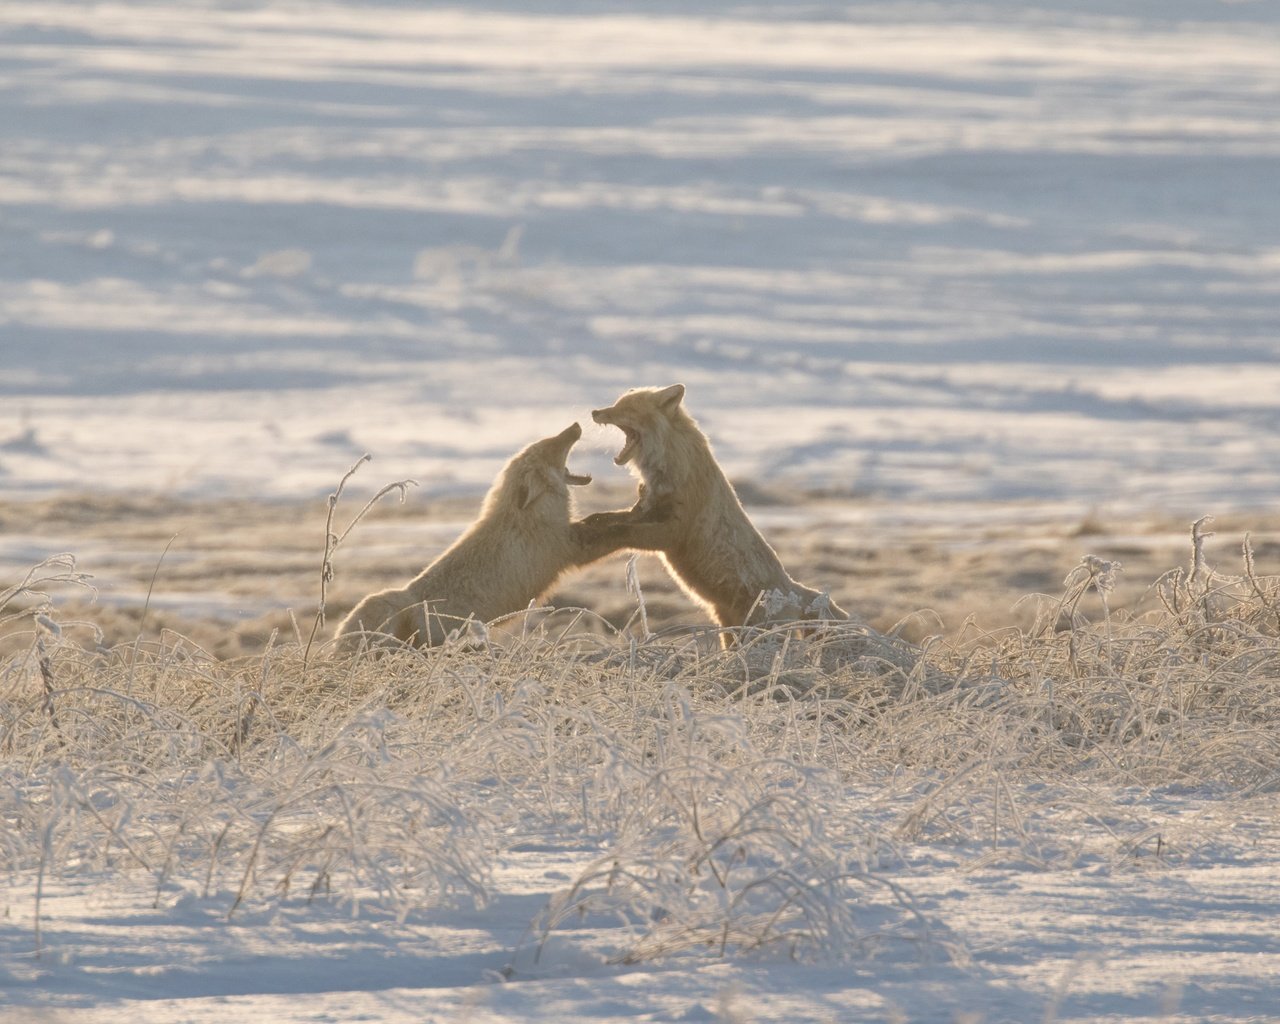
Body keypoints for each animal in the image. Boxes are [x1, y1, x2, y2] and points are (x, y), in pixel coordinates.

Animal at [337, 422, 645, 647]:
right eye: (552, 446)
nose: (575, 425)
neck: (526, 516)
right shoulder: (569, 548)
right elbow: (614, 535)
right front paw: (635, 522)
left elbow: (603, 523)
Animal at [583, 384, 849, 640]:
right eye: (616, 403)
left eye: (627, 408)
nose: (594, 412)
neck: (670, 469)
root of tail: (793, 588)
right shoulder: (647, 509)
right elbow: (612, 518)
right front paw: (592, 521)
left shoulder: (673, 531)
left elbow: (624, 531)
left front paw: (603, 534)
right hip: (728, 632)